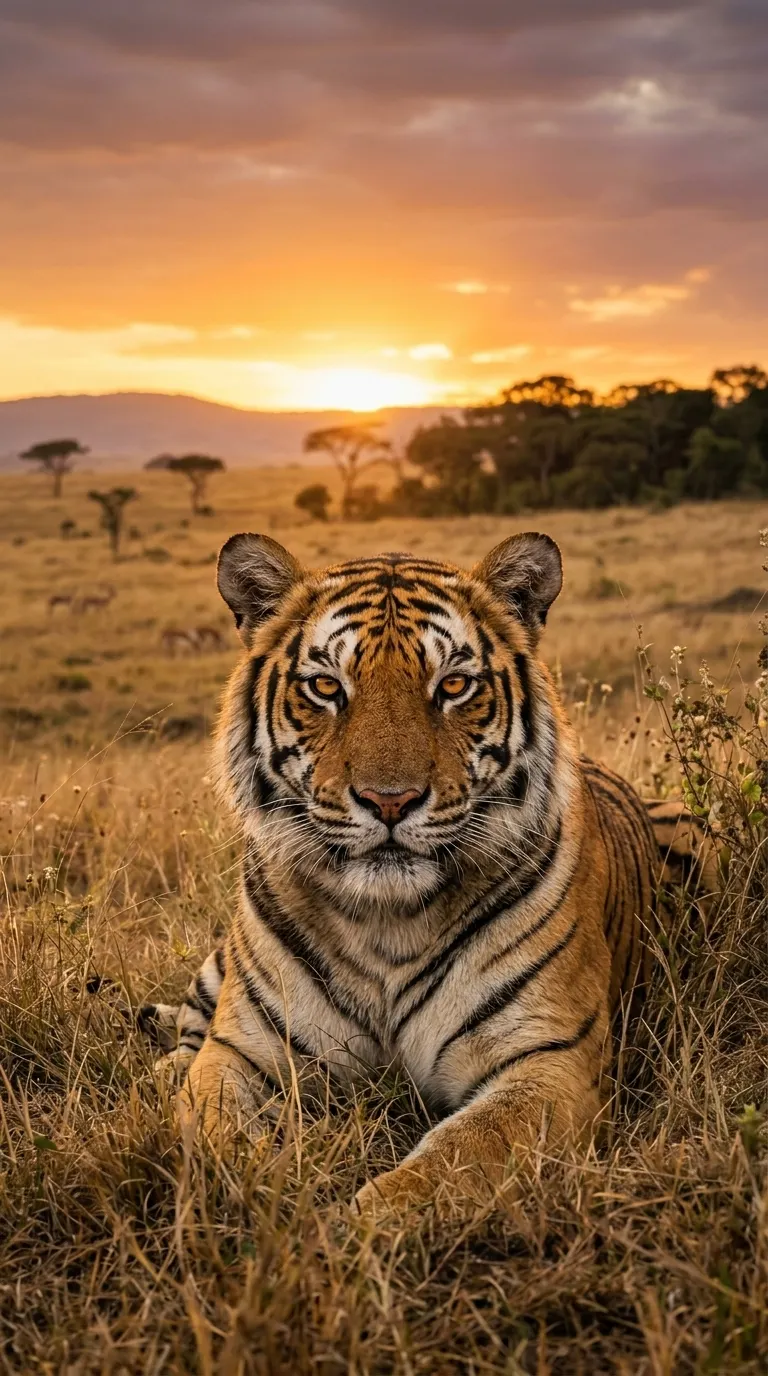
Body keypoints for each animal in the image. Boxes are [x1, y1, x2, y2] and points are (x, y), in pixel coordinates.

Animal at [140, 530, 712, 1218]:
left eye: (455, 685)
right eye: (327, 687)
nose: (390, 801)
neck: (386, 921)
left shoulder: (548, 1059)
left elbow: (452, 1161)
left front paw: (347, 1228)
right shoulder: (242, 1051)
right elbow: (215, 1131)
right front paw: (259, 1193)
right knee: (185, 1032)